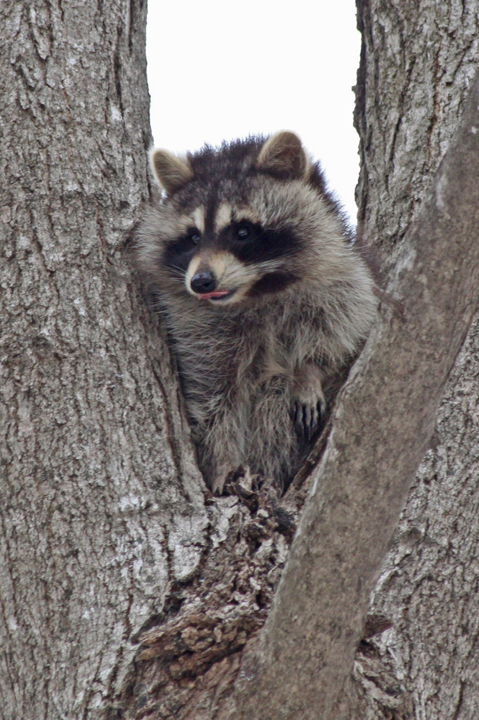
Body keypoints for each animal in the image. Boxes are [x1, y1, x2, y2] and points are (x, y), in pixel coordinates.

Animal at [132, 132, 377, 493]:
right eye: (193, 238)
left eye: (242, 232)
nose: (201, 282)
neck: (255, 293)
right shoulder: (198, 328)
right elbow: (213, 399)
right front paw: (220, 463)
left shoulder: (340, 277)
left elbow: (345, 326)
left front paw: (309, 370)